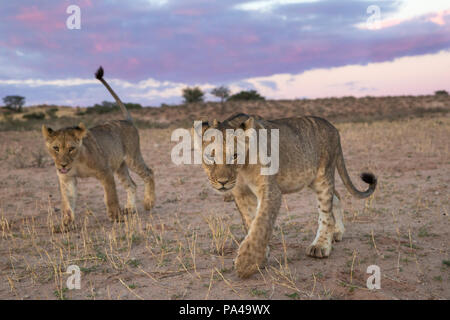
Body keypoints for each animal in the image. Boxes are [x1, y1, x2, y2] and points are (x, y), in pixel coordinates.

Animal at [42, 67, 155, 228]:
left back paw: (149, 203)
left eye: (71, 148)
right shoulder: (67, 178)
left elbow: (111, 197)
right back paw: (130, 208)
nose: (63, 165)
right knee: (131, 185)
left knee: (149, 173)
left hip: (133, 157)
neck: (77, 161)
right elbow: (67, 202)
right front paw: (66, 224)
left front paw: (116, 217)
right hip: (120, 166)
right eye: (56, 148)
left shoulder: (105, 171)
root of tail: (127, 121)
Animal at [193, 113, 376, 278]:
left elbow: (261, 224)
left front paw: (245, 263)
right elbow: (251, 223)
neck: (242, 170)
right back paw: (337, 232)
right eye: (210, 156)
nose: (222, 182)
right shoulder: (242, 195)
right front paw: (259, 258)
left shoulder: (270, 191)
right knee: (336, 197)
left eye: (235, 155)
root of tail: (333, 127)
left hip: (323, 176)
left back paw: (321, 245)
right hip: (309, 178)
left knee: (326, 212)